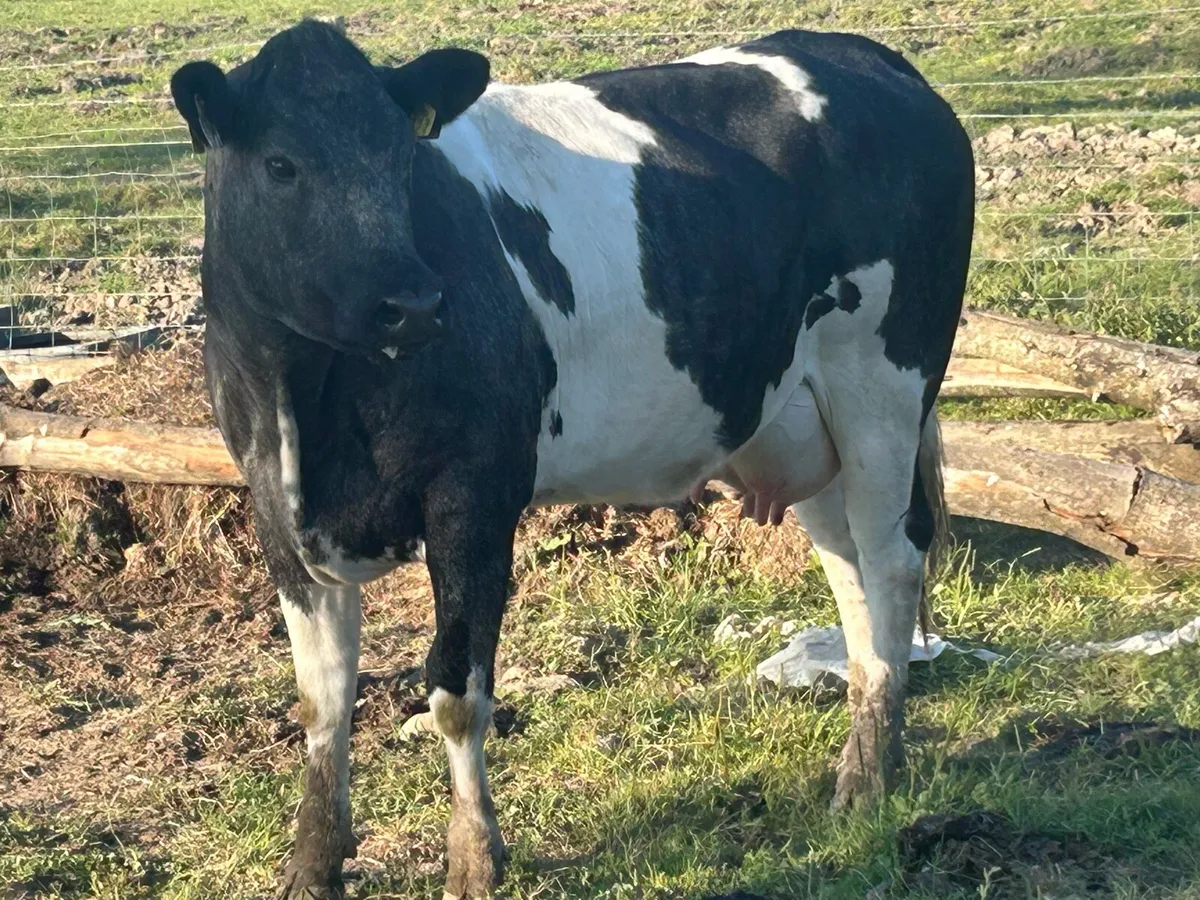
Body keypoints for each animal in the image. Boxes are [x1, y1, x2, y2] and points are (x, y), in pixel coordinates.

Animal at [170, 19, 973, 899]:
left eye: (402, 156)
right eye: (280, 163)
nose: (412, 303)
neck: (308, 403)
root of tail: (864, 54)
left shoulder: (474, 498)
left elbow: (456, 688)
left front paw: (475, 858)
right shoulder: (274, 511)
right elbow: (322, 698)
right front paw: (312, 864)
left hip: (884, 389)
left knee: (893, 562)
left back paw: (871, 775)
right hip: (800, 422)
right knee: (850, 575)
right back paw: (865, 756)